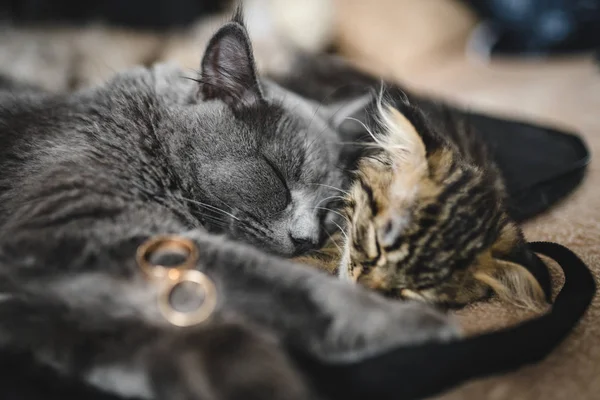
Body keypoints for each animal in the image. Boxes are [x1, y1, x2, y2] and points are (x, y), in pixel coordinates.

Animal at [0, 12, 460, 400]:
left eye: (328, 210)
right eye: (276, 177)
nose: (306, 238)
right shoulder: (81, 222)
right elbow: (285, 284)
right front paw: (422, 324)